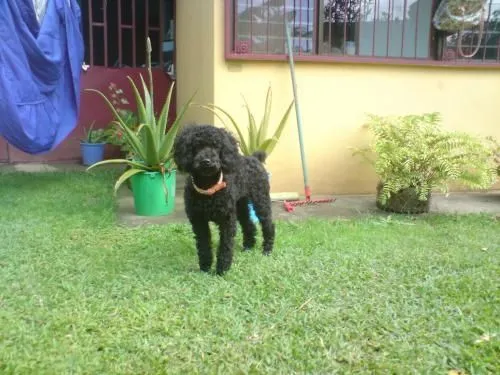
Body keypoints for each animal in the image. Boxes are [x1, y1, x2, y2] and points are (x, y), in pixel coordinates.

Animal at [171, 125, 274, 274]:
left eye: (216, 146)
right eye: (196, 146)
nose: (206, 161)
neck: (208, 188)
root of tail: (254, 158)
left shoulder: (226, 220)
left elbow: (225, 245)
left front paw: (222, 270)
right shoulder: (198, 221)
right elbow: (203, 245)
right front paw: (205, 268)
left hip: (261, 200)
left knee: (268, 225)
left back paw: (267, 250)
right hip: (241, 204)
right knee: (249, 224)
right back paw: (248, 247)